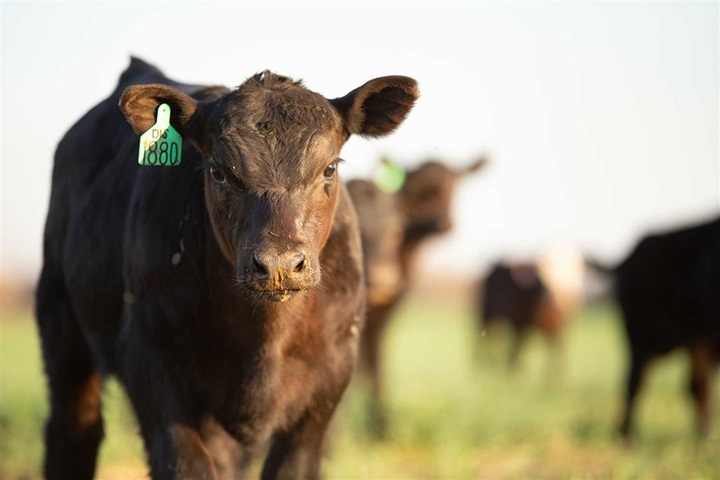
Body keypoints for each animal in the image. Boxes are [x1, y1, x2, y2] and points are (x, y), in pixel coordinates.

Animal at [36, 58, 420, 478]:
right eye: (219, 172)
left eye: (329, 169)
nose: (279, 265)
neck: (263, 340)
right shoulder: (152, 366)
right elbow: (186, 466)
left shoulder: (325, 388)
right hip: (61, 326)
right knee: (74, 430)